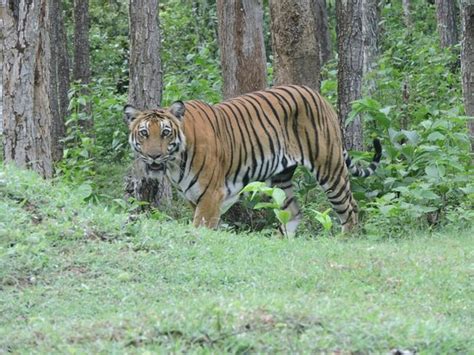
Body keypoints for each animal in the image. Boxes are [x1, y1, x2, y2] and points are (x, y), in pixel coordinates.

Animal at [123, 85, 382, 236]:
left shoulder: (211, 194)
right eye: (144, 133)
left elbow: (200, 228)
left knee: (350, 208)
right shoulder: (193, 197)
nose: (154, 155)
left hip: (329, 167)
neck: (175, 162)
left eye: (165, 133)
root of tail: (318, 95)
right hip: (281, 178)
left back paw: (344, 240)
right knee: (293, 212)